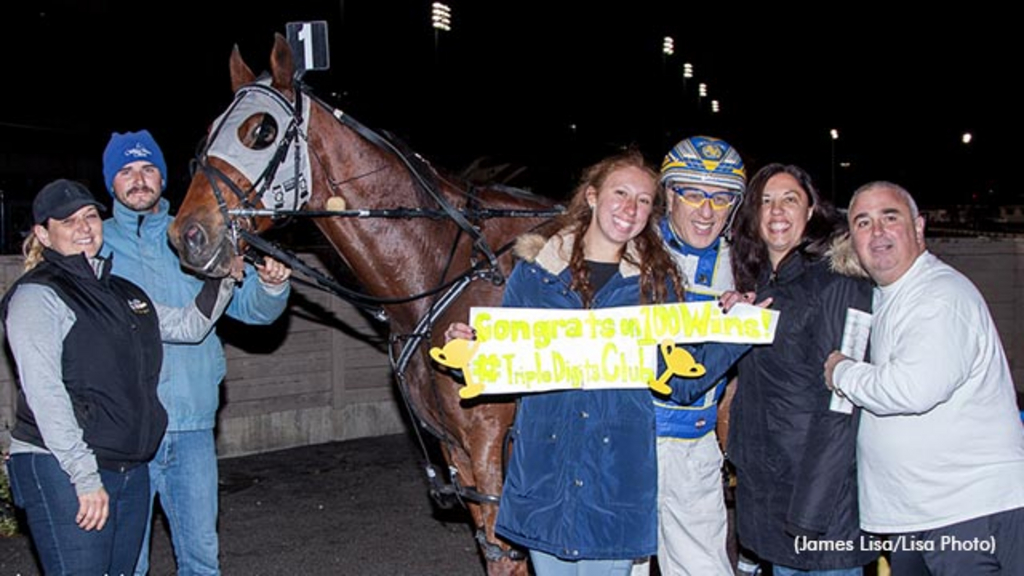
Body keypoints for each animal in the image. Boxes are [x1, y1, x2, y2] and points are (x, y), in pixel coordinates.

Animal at [171, 33, 565, 569]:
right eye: (210, 130)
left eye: (261, 131)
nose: (187, 234)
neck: (459, 266)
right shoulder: (460, 452)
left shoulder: (489, 446)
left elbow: (506, 551)